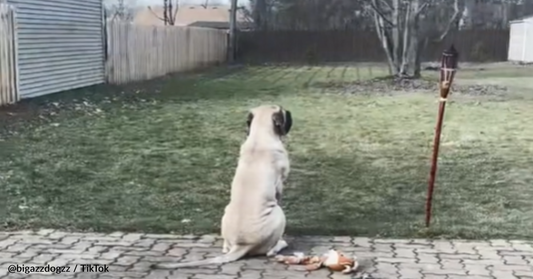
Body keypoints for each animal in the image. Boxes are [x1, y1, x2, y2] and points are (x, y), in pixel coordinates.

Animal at [151, 105, 290, 270]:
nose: (289, 113)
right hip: (279, 214)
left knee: (226, 247)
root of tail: (241, 245)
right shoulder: (280, 184)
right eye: (283, 112)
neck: (259, 137)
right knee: (269, 251)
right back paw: (280, 244)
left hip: (227, 211)